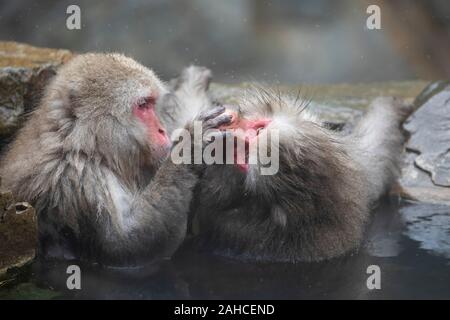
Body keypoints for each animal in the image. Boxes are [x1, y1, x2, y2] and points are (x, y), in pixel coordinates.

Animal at [0, 53, 230, 266]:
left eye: (151, 104)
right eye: (143, 105)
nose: (162, 130)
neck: (85, 146)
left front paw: (192, 82)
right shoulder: (78, 182)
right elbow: (126, 247)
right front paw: (191, 145)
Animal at [183, 76, 412, 262]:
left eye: (246, 154)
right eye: (260, 128)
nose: (231, 131)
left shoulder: (227, 226)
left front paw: (196, 135)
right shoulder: (359, 169)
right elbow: (376, 151)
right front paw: (392, 106)